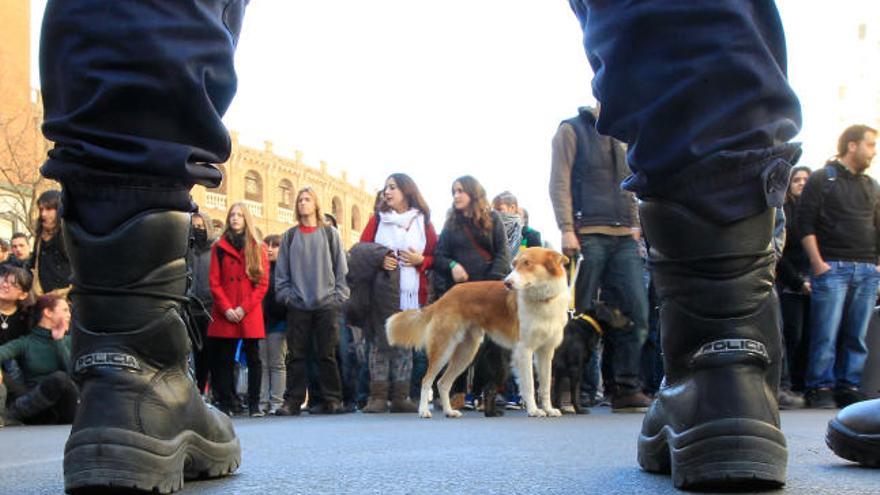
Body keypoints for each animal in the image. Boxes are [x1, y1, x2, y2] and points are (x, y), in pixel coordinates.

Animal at [386, 248, 572, 418]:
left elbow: (545, 385)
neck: (543, 299)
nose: (507, 283)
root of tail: (444, 298)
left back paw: (449, 411)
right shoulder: (524, 350)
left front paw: (549, 409)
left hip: (466, 353)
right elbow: (529, 385)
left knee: (443, 383)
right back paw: (424, 411)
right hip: (444, 349)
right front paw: (534, 410)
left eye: (527, 263)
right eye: (514, 264)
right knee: (427, 380)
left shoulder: (546, 352)